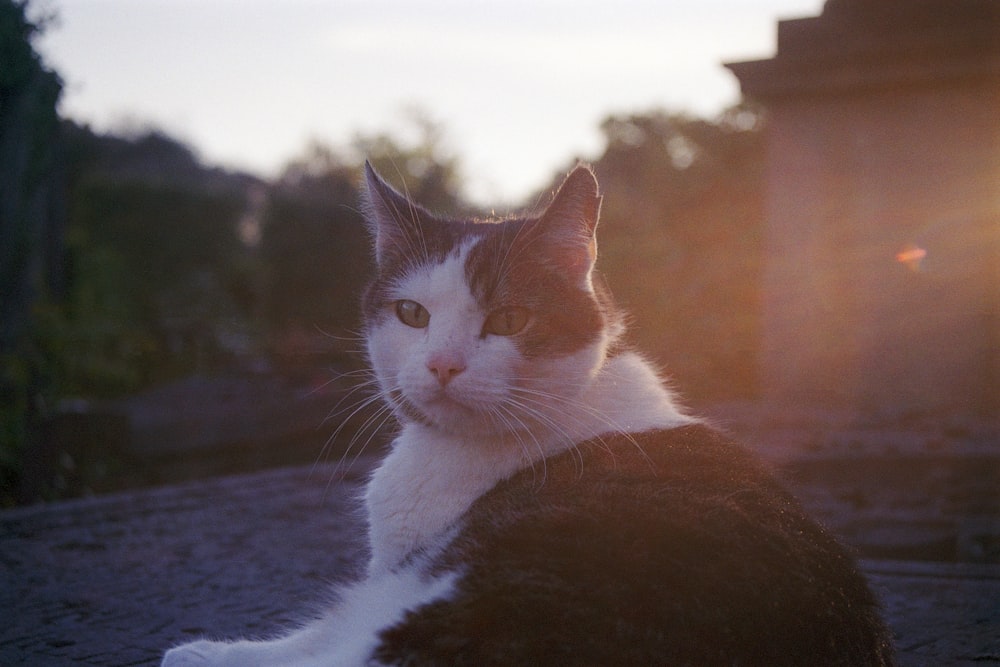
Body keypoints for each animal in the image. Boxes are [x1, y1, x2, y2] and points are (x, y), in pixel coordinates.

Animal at [164, 163, 900, 667]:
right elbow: (316, 627)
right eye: (412, 313)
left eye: (509, 320)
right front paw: (204, 648)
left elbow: (320, 637)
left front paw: (202, 652)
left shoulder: (402, 577)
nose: (444, 364)